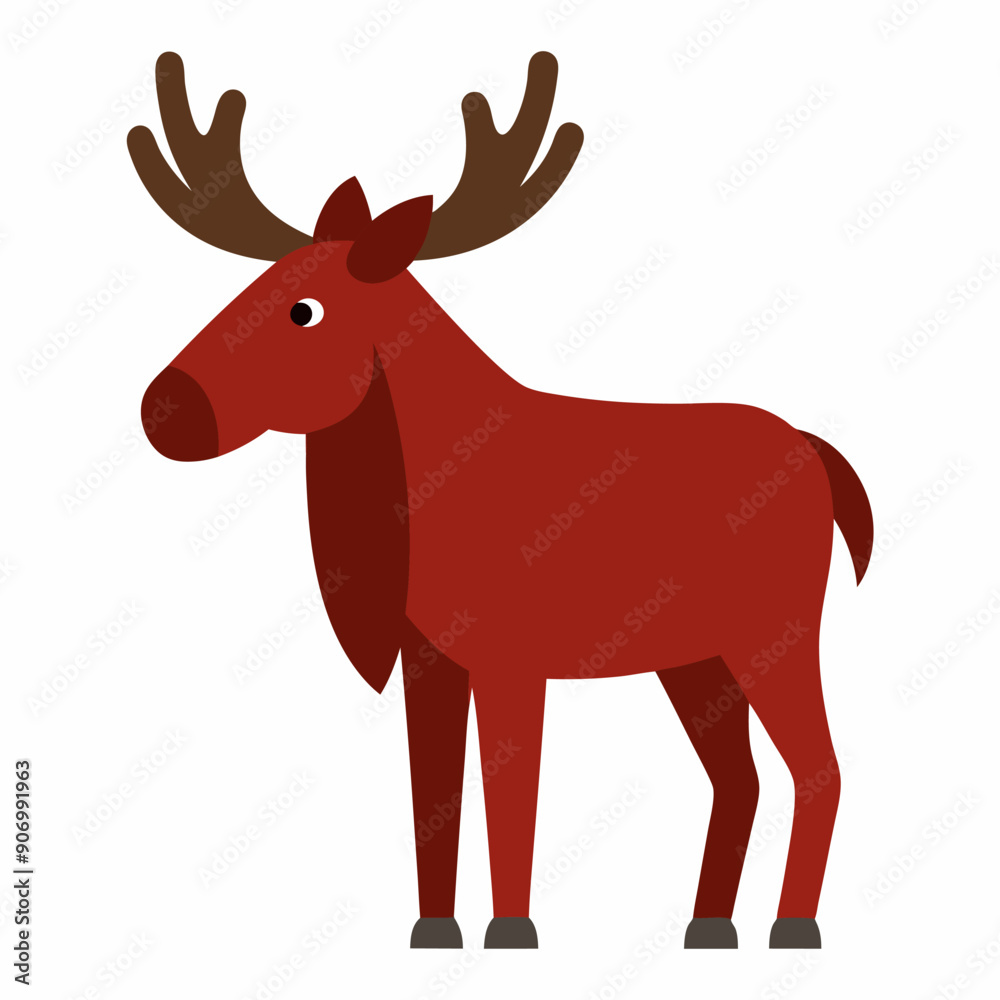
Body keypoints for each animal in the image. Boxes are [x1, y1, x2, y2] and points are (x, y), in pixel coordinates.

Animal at [129, 50, 873, 952]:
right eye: (252, 284)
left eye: (304, 308)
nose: (166, 408)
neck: (413, 507)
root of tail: (820, 457)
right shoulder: (429, 656)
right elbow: (434, 796)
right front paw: (434, 929)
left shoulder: (513, 657)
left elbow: (511, 798)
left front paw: (512, 931)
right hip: (695, 659)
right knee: (742, 778)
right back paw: (707, 926)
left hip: (777, 631)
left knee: (821, 769)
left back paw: (793, 926)